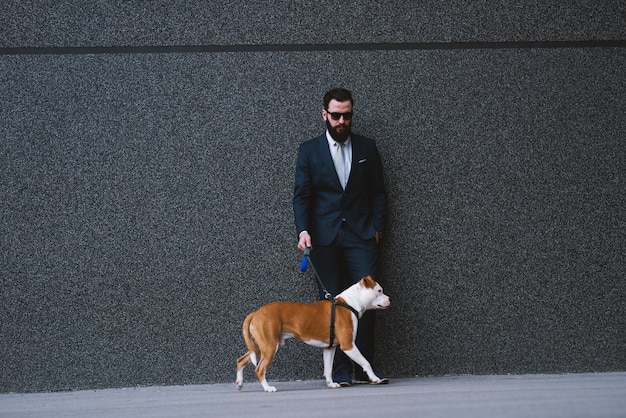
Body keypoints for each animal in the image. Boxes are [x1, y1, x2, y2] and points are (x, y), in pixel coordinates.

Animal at [235, 276, 390, 390]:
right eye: (379, 291)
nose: (389, 299)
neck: (350, 303)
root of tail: (256, 312)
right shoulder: (349, 345)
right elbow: (366, 362)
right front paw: (375, 378)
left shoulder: (330, 348)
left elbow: (328, 368)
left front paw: (331, 384)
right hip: (270, 347)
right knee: (259, 369)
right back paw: (267, 388)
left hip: (259, 347)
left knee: (241, 360)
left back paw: (239, 383)